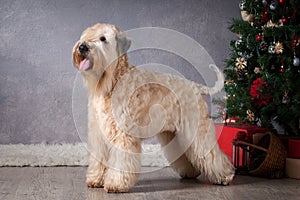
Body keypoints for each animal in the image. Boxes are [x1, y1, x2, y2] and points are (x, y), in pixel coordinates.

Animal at [72, 23, 234, 192]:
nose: (82, 47)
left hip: (196, 132)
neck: (113, 82)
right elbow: (99, 159)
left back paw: (225, 176)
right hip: (175, 134)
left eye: (103, 39)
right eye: (87, 35)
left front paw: (116, 184)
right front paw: (95, 179)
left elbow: (121, 161)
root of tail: (195, 87)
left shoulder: (123, 134)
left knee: (212, 154)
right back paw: (191, 173)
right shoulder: (98, 134)